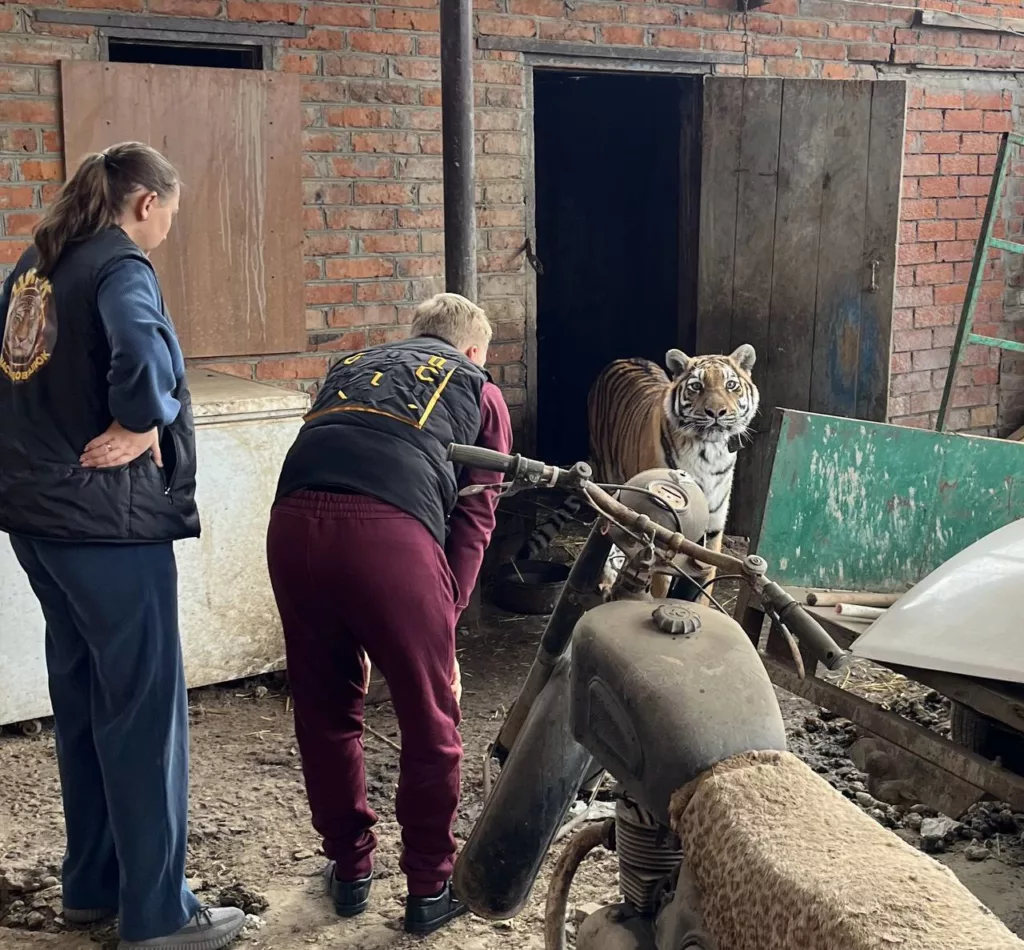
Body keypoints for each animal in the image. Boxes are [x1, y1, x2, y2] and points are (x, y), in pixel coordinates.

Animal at [520, 346, 761, 601]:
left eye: (731, 385)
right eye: (697, 386)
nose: (716, 412)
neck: (709, 453)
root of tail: (626, 358)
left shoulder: (713, 528)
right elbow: (659, 583)